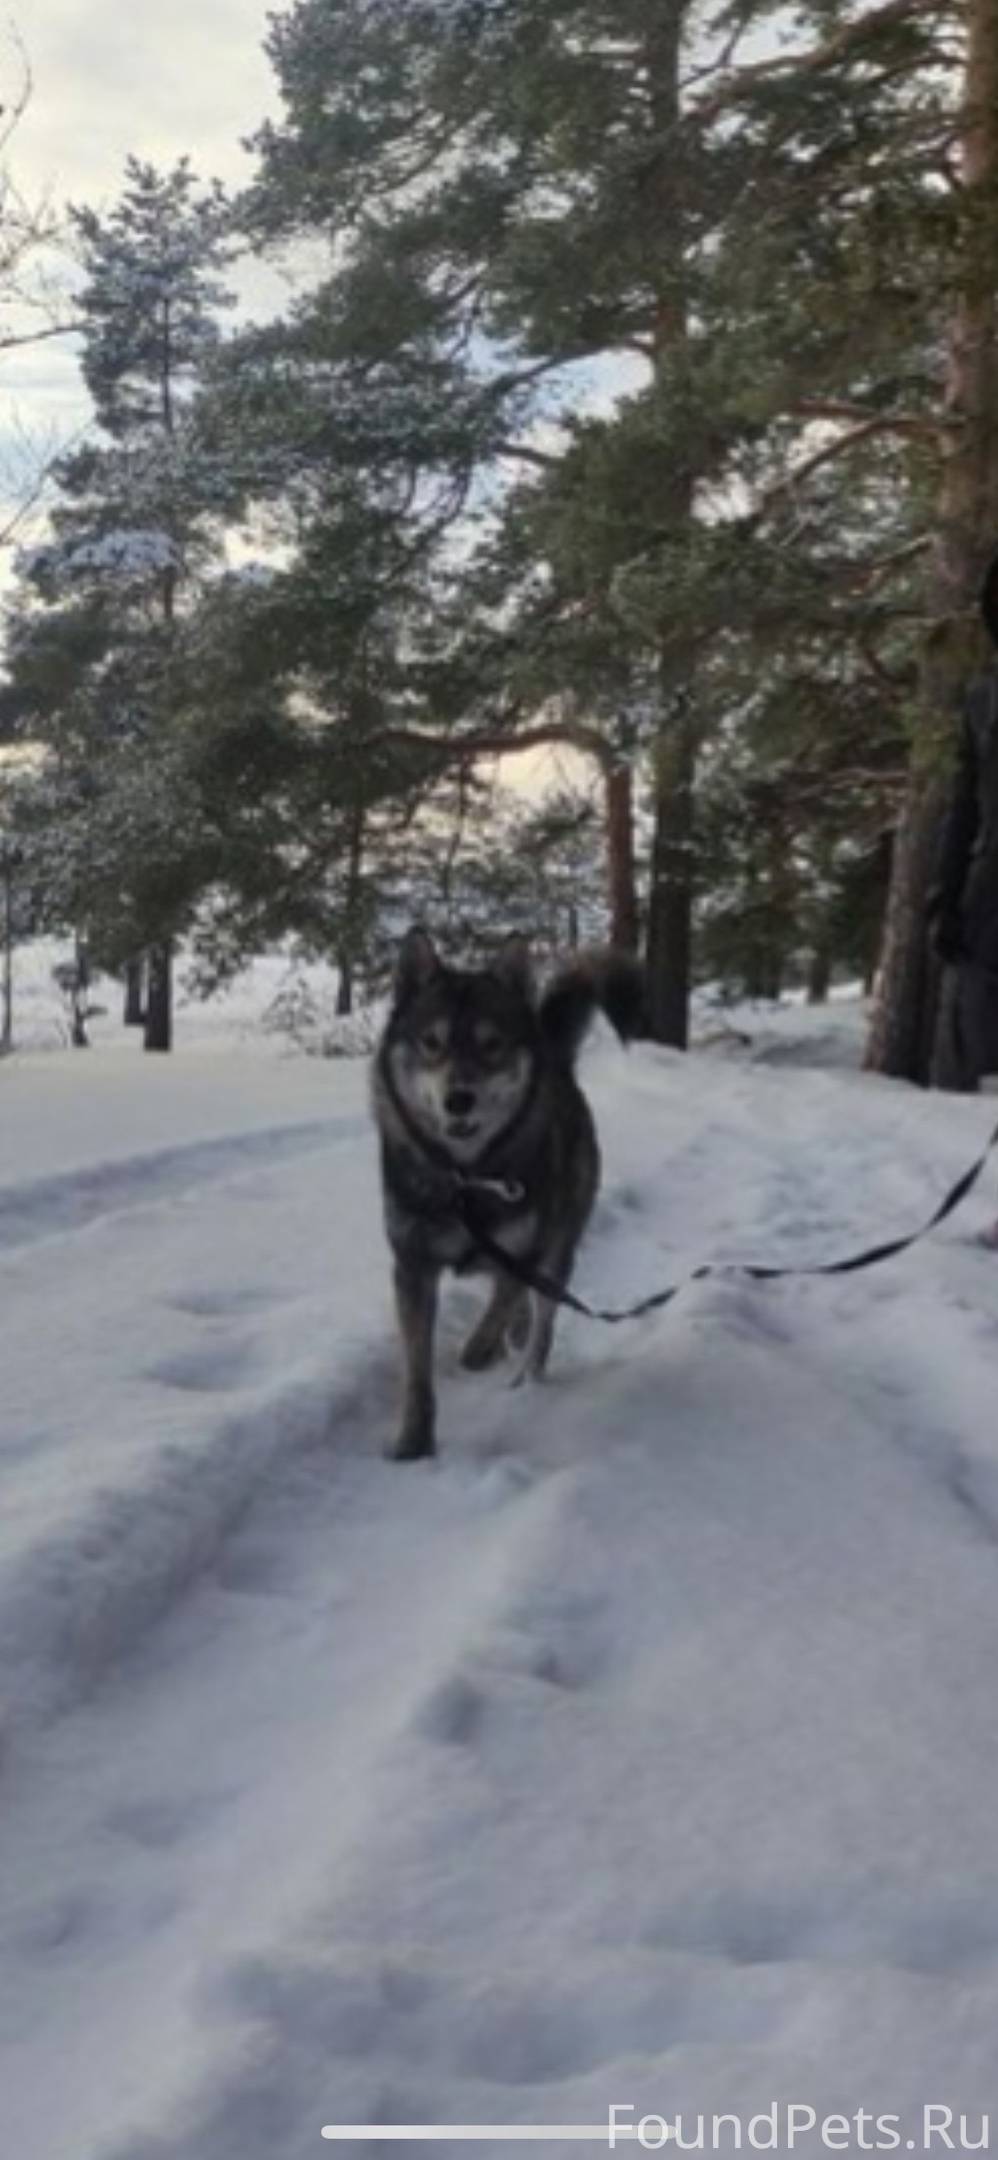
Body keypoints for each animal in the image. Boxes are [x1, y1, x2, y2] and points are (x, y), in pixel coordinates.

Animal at [369, 920, 643, 1460]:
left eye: (492, 1044)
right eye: (431, 1042)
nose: (458, 1099)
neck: (464, 1180)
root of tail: (556, 1061)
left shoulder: (527, 1248)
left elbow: (505, 1302)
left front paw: (479, 1349)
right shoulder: (412, 1265)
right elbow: (417, 1370)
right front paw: (414, 1441)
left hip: (560, 1248)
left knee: (541, 1323)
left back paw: (524, 1381)